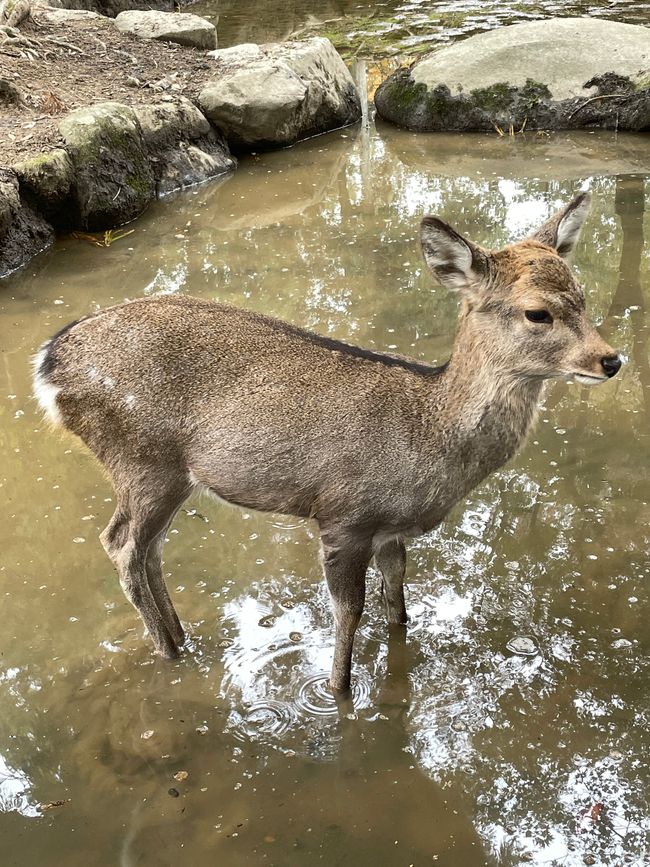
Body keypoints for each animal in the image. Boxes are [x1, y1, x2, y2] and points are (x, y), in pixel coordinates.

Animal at [33, 191, 621, 694]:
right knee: (121, 544)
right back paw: (169, 651)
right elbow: (348, 613)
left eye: (583, 297)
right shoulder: (344, 516)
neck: (429, 437)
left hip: (169, 475)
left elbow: (397, 602)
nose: (611, 360)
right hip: (140, 457)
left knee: (148, 547)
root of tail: (49, 364)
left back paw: (180, 637)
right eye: (537, 312)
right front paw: (338, 691)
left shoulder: (391, 530)